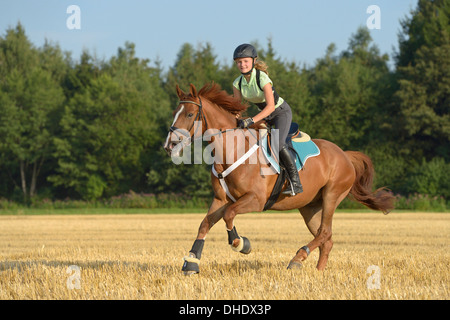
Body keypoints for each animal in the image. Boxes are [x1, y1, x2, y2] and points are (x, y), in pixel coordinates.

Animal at [164, 82, 394, 276]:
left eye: (190, 114)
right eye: (174, 114)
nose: (169, 145)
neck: (232, 151)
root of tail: (345, 155)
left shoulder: (255, 200)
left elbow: (229, 216)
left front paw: (241, 244)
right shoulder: (221, 199)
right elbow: (204, 224)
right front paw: (191, 263)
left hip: (332, 195)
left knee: (324, 232)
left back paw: (297, 258)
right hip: (310, 206)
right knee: (326, 238)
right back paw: (318, 272)